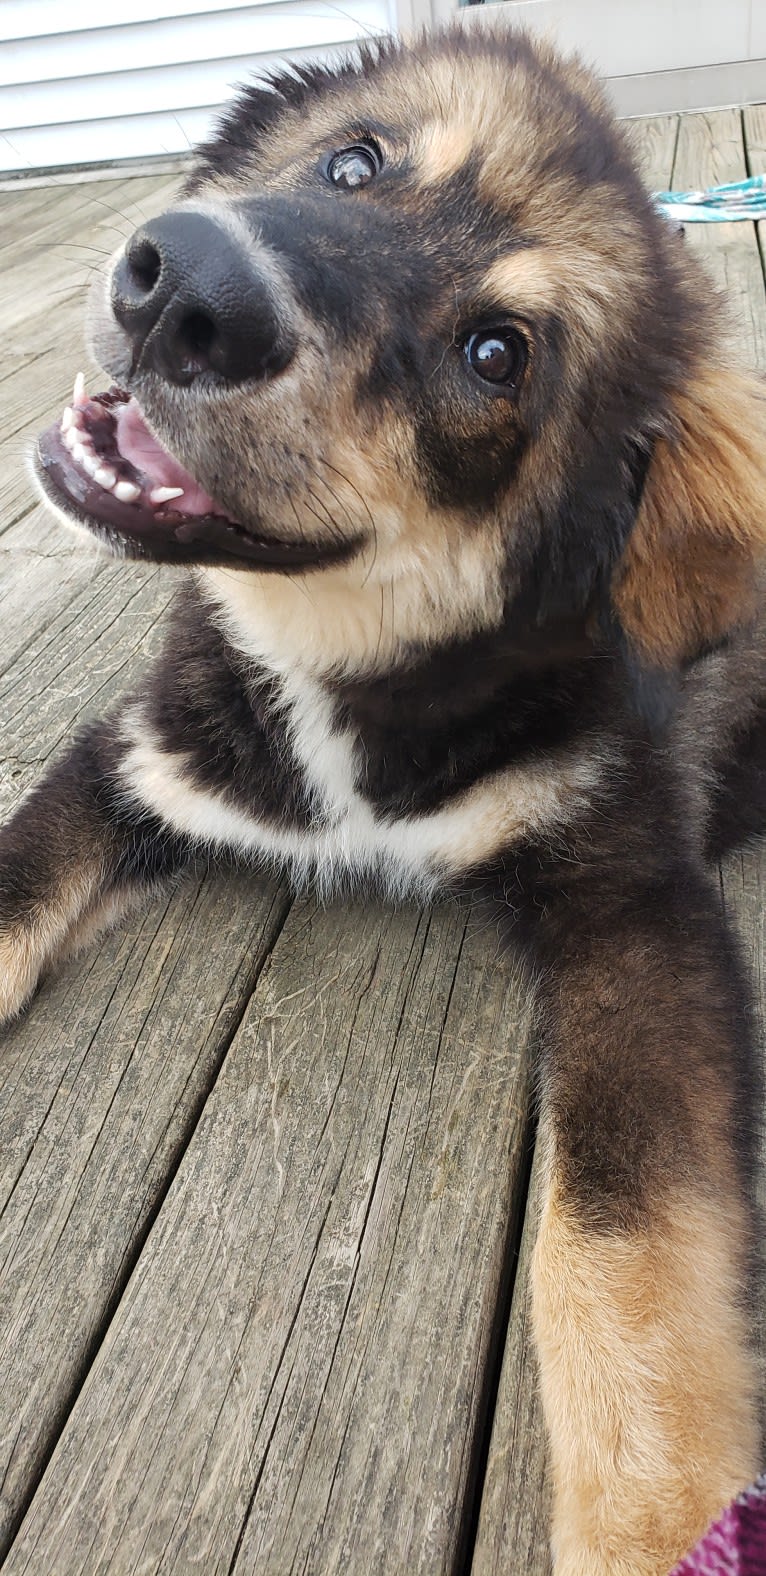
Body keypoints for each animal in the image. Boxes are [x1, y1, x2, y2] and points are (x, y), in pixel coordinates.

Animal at [1, 24, 766, 1576]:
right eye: (353, 163)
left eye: (495, 352)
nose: (184, 290)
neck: (338, 685)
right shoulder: (140, 757)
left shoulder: (636, 906)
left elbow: (623, 1245)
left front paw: (657, 1522)